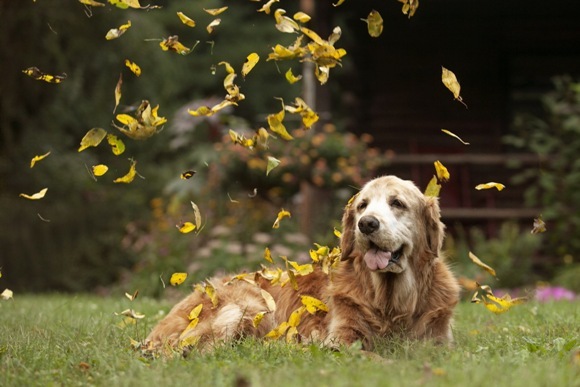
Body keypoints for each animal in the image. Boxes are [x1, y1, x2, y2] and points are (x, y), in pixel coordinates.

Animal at [146, 176, 462, 354]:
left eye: (397, 203)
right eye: (362, 205)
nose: (367, 224)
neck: (391, 303)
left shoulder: (439, 342)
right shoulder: (341, 339)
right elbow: (371, 355)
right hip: (249, 306)